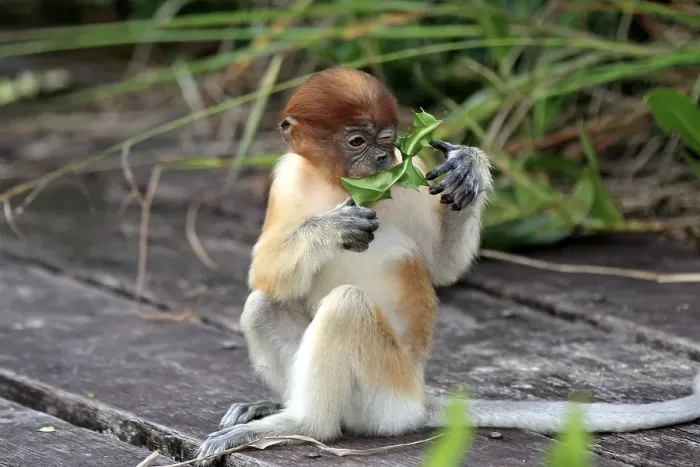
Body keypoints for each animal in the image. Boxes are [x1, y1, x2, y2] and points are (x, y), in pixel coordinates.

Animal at [195, 67, 700, 466]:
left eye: (387, 141)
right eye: (356, 140)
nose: (382, 159)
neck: (331, 181)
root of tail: (417, 400)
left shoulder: (412, 169)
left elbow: (443, 268)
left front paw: (467, 169)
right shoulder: (287, 177)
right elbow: (264, 272)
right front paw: (335, 227)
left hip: (387, 394)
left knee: (345, 307)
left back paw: (303, 424)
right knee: (264, 301)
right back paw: (274, 409)